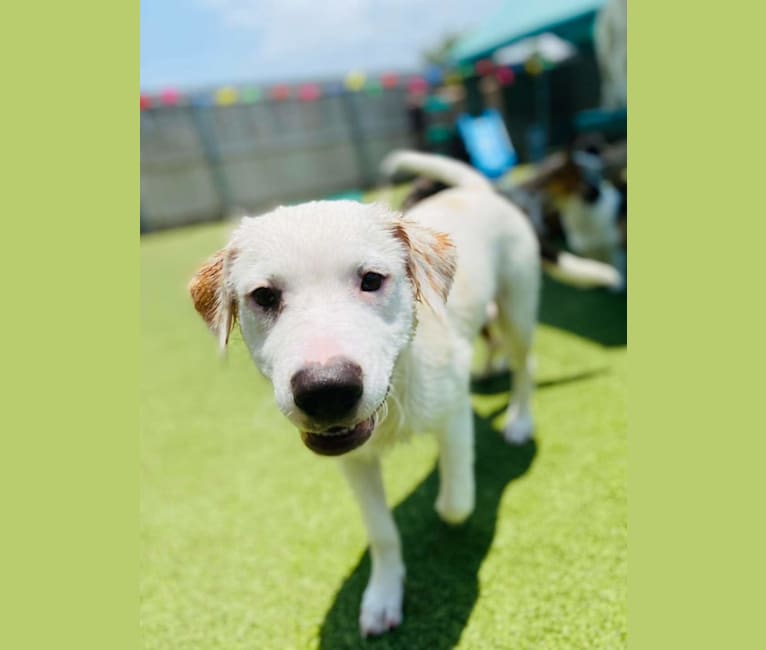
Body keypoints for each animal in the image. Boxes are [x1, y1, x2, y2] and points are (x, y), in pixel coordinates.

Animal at [189, 151, 620, 632]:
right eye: (263, 296)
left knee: (525, 362)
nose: (326, 391)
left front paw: (446, 509)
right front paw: (383, 595)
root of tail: (477, 191)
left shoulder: (453, 414)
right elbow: (382, 532)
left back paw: (519, 419)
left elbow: (456, 502)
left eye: (372, 280)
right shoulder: (355, 463)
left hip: (518, 307)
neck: (396, 396)